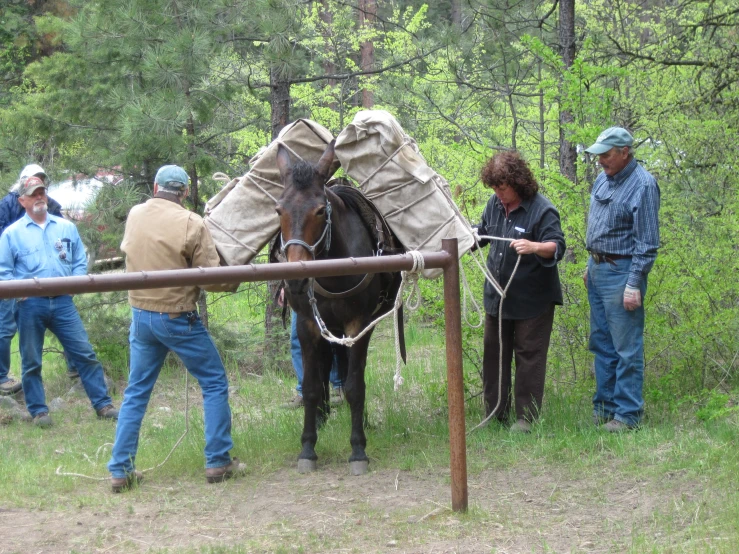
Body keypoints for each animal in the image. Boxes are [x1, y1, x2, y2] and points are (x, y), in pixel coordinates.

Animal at [278, 140, 404, 472]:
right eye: (278, 210)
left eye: (321, 210)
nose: (295, 279)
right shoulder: (307, 324)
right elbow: (310, 386)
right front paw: (308, 448)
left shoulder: (359, 324)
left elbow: (354, 386)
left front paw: (358, 449)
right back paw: (323, 416)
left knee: (348, 372)